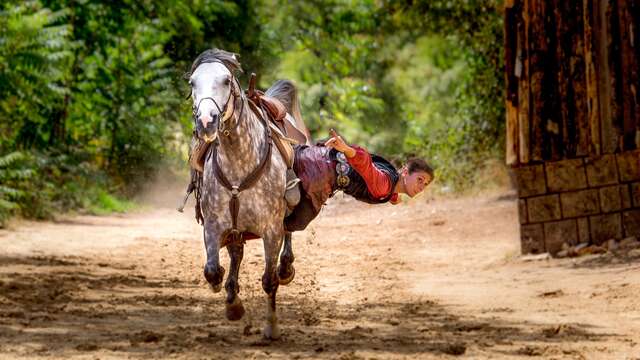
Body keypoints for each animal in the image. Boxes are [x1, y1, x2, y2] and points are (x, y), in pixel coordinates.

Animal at [186, 49, 306, 338]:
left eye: (226, 81)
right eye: (192, 83)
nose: (206, 122)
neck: (239, 159)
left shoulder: (271, 229)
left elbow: (269, 280)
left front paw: (271, 326)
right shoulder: (214, 225)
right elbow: (212, 270)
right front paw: (232, 303)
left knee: (287, 237)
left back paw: (286, 267)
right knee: (236, 254)